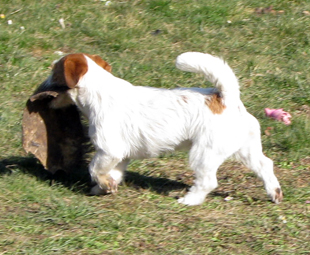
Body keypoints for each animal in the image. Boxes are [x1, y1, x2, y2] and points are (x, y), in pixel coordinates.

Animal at [35, 51, 284, 205]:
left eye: (53, 72)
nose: (39, 88)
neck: (99, 92)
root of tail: (226, 98)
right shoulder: (120, 156)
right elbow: (113, 173)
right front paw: (105, 188)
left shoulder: (108, 150)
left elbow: (95, 169)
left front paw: (103, 185)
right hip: (246, 149)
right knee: (265, 166)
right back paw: (275, 193)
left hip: (204, 153)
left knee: (208, 181)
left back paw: (190, 200)